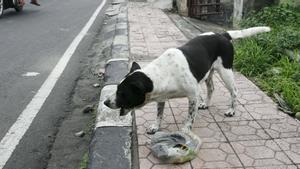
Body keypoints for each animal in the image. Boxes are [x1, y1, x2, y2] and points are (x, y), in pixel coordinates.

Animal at [104, 26, 270, 135]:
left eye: (122, 93)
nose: (105, 102)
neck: (163, 73)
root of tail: (222, 34)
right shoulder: (161, 98)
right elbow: (159, 114)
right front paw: (156, 126)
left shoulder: (193, 95)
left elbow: (190, 116)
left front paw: (185, 130)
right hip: (208, 73)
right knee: (211, 88)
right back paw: (206, 104)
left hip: (226, 72)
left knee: (234, 91)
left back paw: (231, 110)